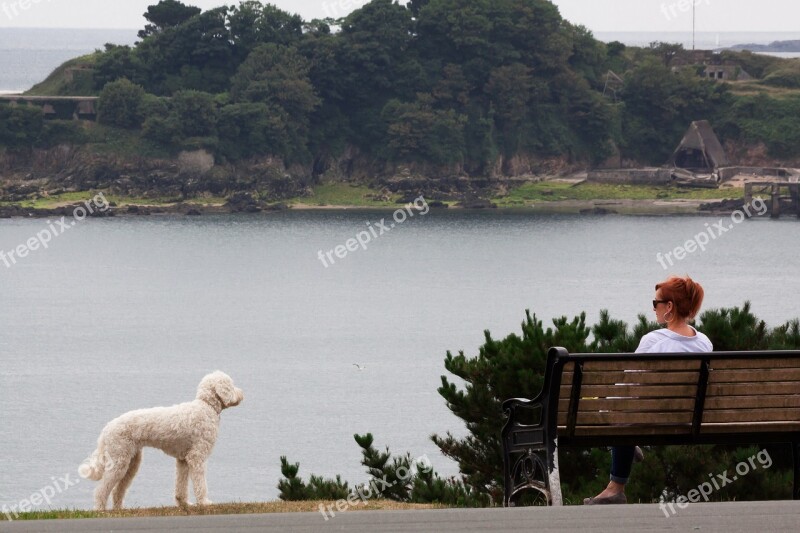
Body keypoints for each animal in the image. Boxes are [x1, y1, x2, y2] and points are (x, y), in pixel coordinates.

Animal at [81, 370, 245, 512]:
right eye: (231, 385)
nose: (242, 393)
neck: (206, 406)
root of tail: (107, 428)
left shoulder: (183, 460)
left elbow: (181, 485)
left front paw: (184, 503)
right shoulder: (197, 457)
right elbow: (200, 483)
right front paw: (204, 502)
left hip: (131, 462)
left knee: (118, 490)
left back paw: (119, 509)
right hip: (118, 461)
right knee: (101, 490)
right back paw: (100, 509)